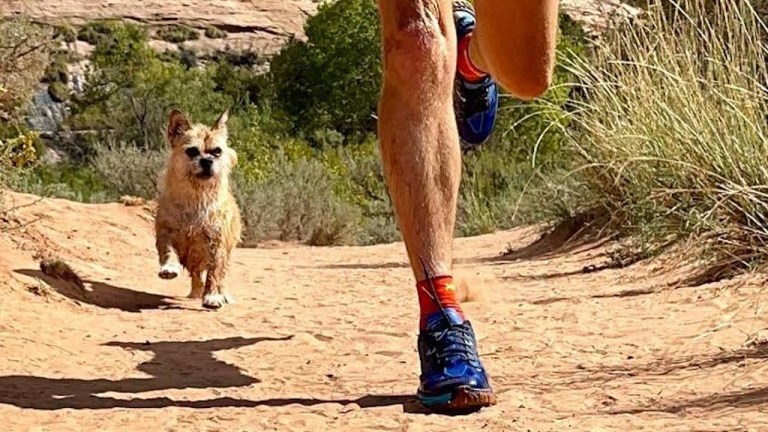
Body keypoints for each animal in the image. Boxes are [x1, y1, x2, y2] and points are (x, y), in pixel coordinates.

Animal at [154, 109, 242, 308]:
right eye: (192, 151)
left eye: (217, 151)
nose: (207, 161)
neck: (196, 197)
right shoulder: (165, 232)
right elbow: (168, 251)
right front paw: (169, 267)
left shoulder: (217, 243)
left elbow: (215, 272)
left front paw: (212, 296)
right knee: (196, 275)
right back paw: (195, 291)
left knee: (220, 274)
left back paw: (221, 294)